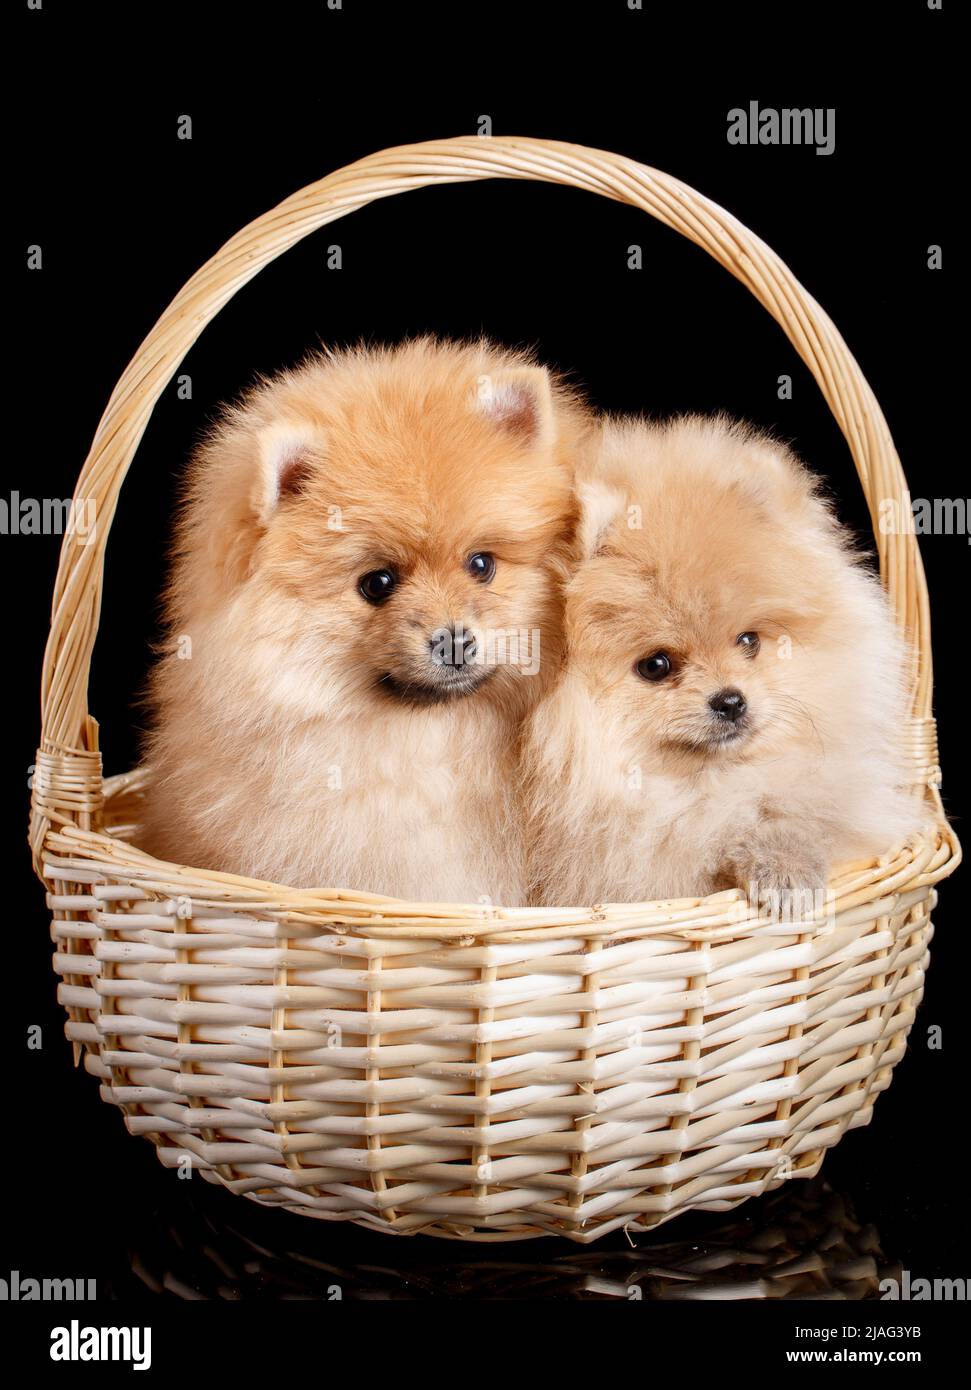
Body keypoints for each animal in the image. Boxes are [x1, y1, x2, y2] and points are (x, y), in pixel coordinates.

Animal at [525, 411, 927, 911]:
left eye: (749, 640)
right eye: (656, 665)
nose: (731, 701)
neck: (705, 789)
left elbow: (798, 813)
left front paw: (786, 865)